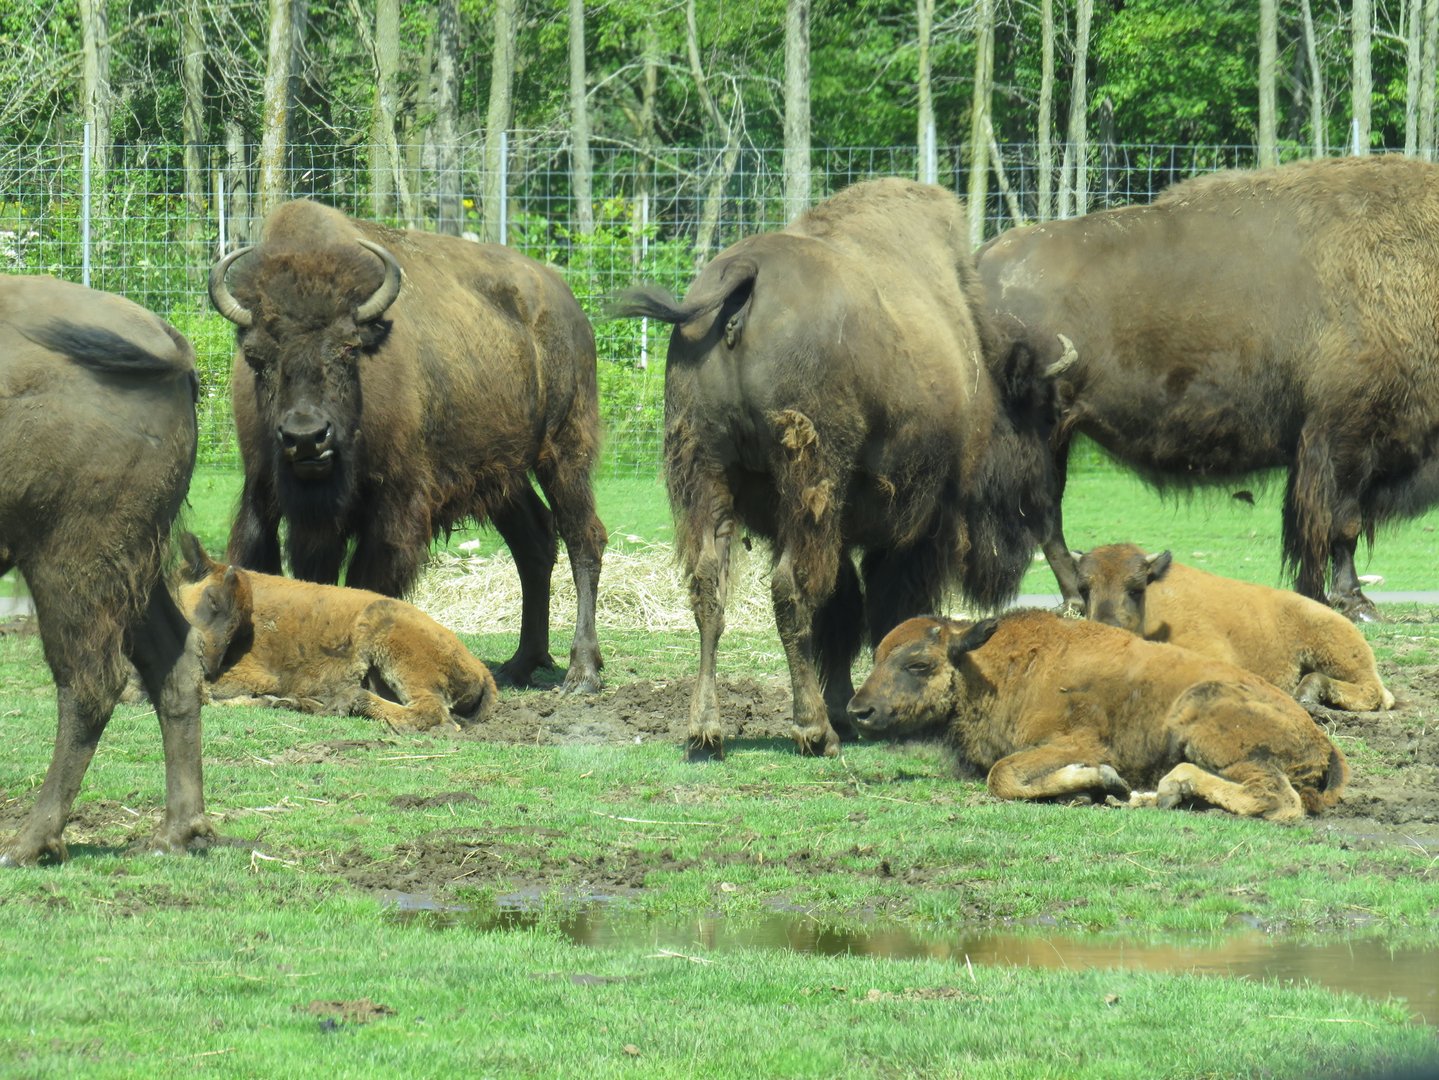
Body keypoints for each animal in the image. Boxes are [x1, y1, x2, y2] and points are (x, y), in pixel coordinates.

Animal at [0, 276, 209, 865]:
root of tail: (168, 341)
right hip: (131, 564)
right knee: (173, 658)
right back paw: (175, 833)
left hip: (70, 562)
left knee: (90, 683)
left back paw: (28, 843)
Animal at [208, 199, 606, 692]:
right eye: (257, 357)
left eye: (348, 349)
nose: (306, 437)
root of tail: (566, 303)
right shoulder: (266, 496)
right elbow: (294, 577)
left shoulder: (393, 505)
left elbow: (369, 582)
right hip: (502, 474)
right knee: (534, 542)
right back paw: (520, 663)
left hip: (564, 450)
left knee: (582, 537)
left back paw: (582, 671)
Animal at [612, 179, 1052, 759]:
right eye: (1033, 432)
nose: (1036, 522)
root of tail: (747, 273)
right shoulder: (916, 527)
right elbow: (882, 608)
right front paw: (851, 712)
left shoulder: (831, 527)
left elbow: (841, 610)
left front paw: (848, 707)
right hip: (808, 476)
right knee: (790, 591)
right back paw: (813, 729)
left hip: (704, 472)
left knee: (710, 587)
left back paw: (706, 729)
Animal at [848, 611, 1349, 821]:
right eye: (877, 656)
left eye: (918, 664)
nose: (858, 711)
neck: (988, 669)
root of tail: (1322, 740)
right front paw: (1094, 789)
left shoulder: (1074, 742)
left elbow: (1002, 775)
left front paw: (1101, 780)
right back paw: (1150, 797)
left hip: (1205, 716)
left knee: (1278, 800)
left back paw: (1167, 788)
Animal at [978, 155, 1439, 621]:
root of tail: (983, 262)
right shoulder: (1346, 438)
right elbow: (1343, 524)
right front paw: (1357, 603)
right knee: (1042, 515)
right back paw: (1073, 596)